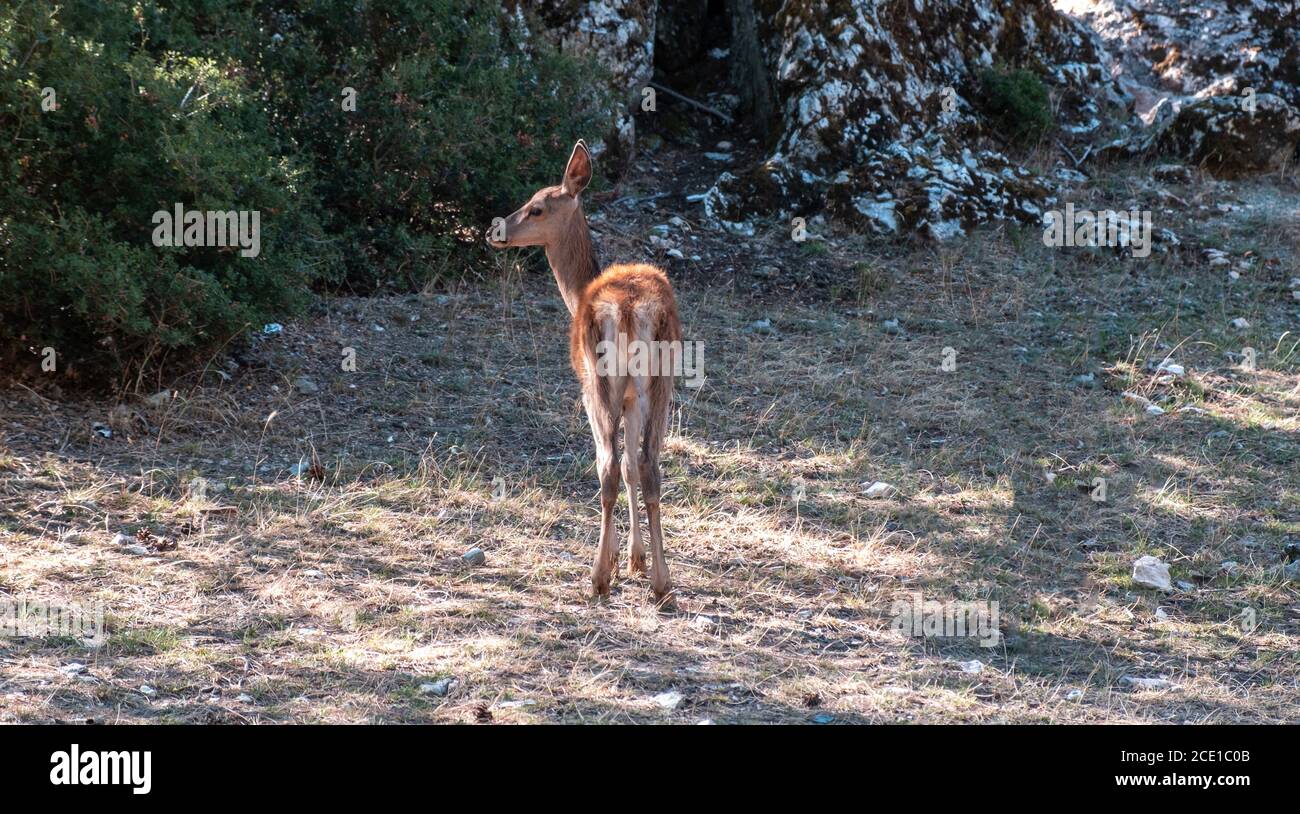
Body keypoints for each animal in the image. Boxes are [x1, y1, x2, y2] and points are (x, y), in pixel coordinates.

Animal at [486, 139, 681, 598]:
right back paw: (662, 582)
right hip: (659, 383)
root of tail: (628, 309)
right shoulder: (631, 397)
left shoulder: (595, 388)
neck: (576, 293)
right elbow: (632, 467)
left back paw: (598, 578)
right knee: (649, 466)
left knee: (605, 467)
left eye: (536, 207)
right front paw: (636, 559)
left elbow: (614, 465)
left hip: (598, 382)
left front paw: (618, 560)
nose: (493, 231)